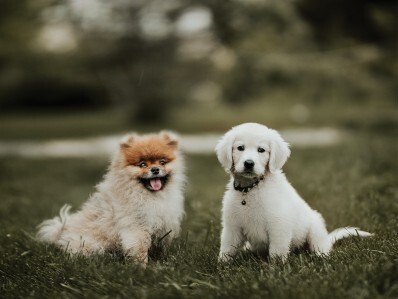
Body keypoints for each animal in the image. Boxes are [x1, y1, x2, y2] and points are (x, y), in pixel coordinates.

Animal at [37, 131, 185, 264]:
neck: (149, 196)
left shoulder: (164, 224)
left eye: (162, 162)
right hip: (91, 245)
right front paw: (142, 265)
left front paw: (162, 260)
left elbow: (161, 245)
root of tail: (61, 233)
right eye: (142, 164)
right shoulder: (136, 226)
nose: (155, 169)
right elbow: (140, 246)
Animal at [216, 123, 372, 264]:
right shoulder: (232, 226)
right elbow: (227, 248)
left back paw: (320, 257)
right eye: (240, 148)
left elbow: (277, 251)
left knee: (320, 247)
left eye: (261, 150)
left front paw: (276, 267)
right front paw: (222, 265)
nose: (249, 163)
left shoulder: (279, 223)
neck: (250, 190)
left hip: (315, 228)